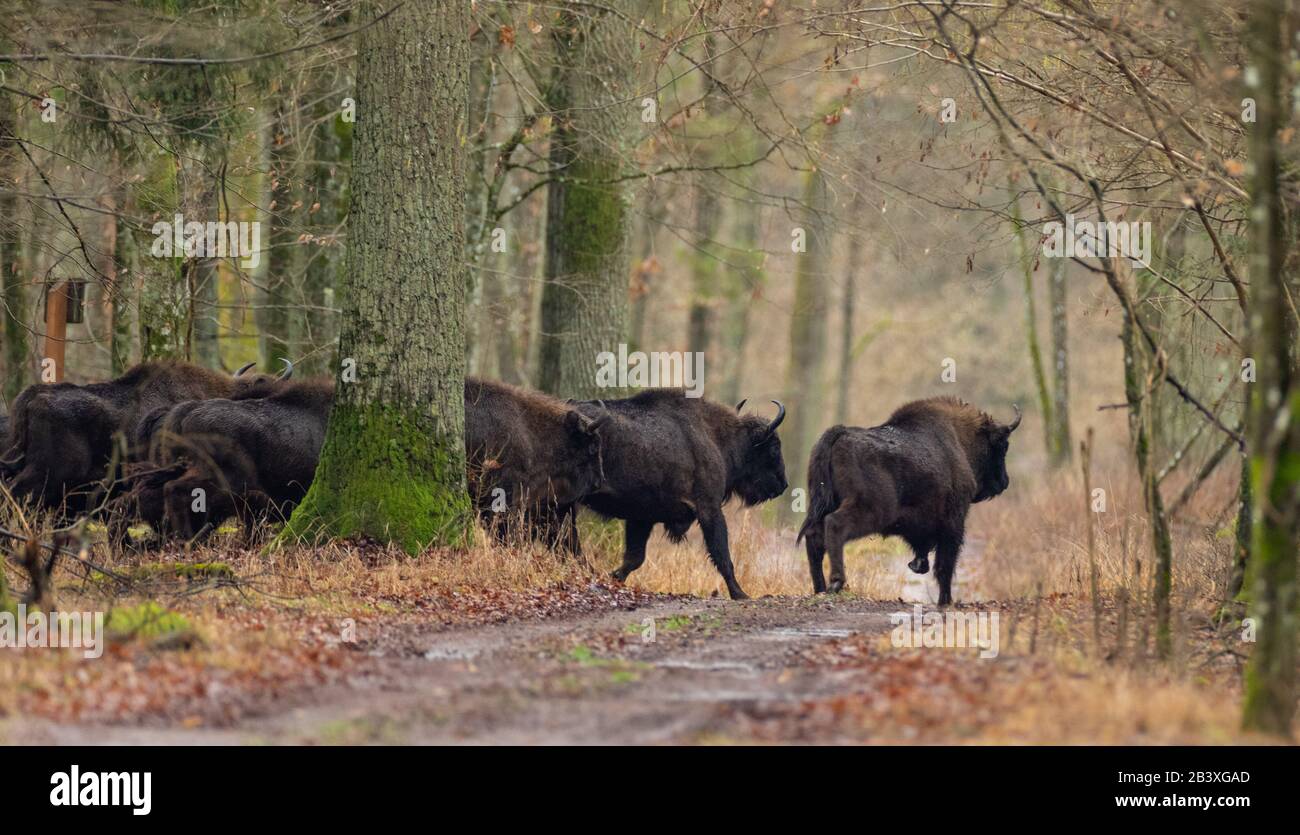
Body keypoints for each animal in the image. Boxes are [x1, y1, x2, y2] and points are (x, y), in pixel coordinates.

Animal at [795, 392, 1019, 600]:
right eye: (1003, 446)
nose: (1004, 482)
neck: (959, 438)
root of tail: (839, 434)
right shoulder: (953, 522)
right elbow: (945, 565)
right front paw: (946, 601)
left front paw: (918, 566)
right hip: (869, 510)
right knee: (834, 524)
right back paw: (836, 582)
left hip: (824, 502)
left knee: (814, 536)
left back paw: (820, 588)